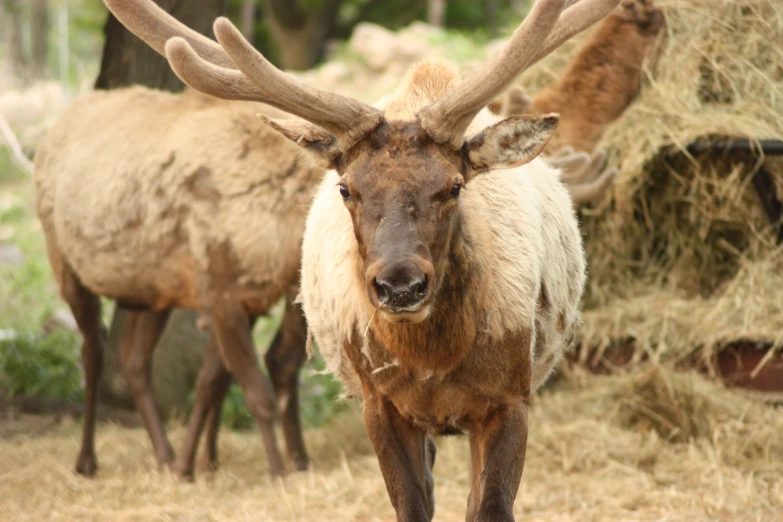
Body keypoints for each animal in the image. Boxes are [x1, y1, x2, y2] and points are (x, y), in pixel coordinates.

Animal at [102, 0, 620, 516]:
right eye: (346, 188)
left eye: (455, 185)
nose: (400, 286)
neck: (436, 359)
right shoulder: (381, 404)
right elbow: (412, 505)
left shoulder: (511, 397)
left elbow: (489, 506)